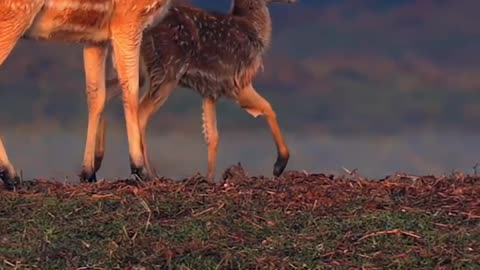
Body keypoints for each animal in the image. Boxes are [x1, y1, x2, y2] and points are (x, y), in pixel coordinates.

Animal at [0, 0, 172, 190]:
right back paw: (11, 176)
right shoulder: (128, 20)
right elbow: (131, 90)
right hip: (12, 17)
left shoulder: (96, 38)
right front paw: (142, 171)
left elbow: (96, 95)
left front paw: (88, 173)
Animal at [103, 0, 294, 181]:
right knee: (141, 112)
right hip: (167, 71)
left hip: (138, 73)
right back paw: (148, 173)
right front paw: (279, 165)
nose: (293, 2)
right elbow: (268, 107)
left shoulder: (210, 91)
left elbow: (212, 135)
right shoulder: (236, 82)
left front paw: (209, 177)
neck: (253, 29)